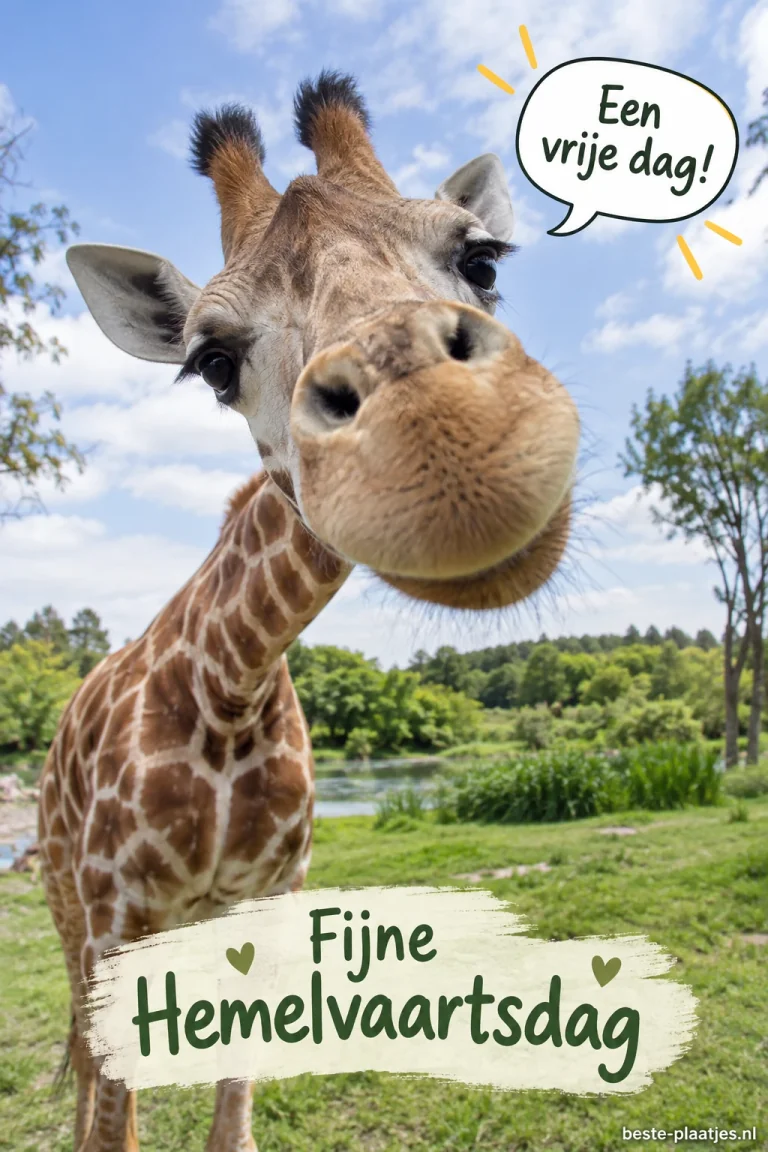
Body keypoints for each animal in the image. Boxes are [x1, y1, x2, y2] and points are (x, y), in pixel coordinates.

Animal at [42, 71, 580, 1151]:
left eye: (482, 259)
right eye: (211, 360)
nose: (451, 452)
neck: (231, 688)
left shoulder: (275, 895)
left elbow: (232, 1116)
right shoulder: (115, 908)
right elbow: (115, 1119)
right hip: (59, 897)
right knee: (82, 1045)